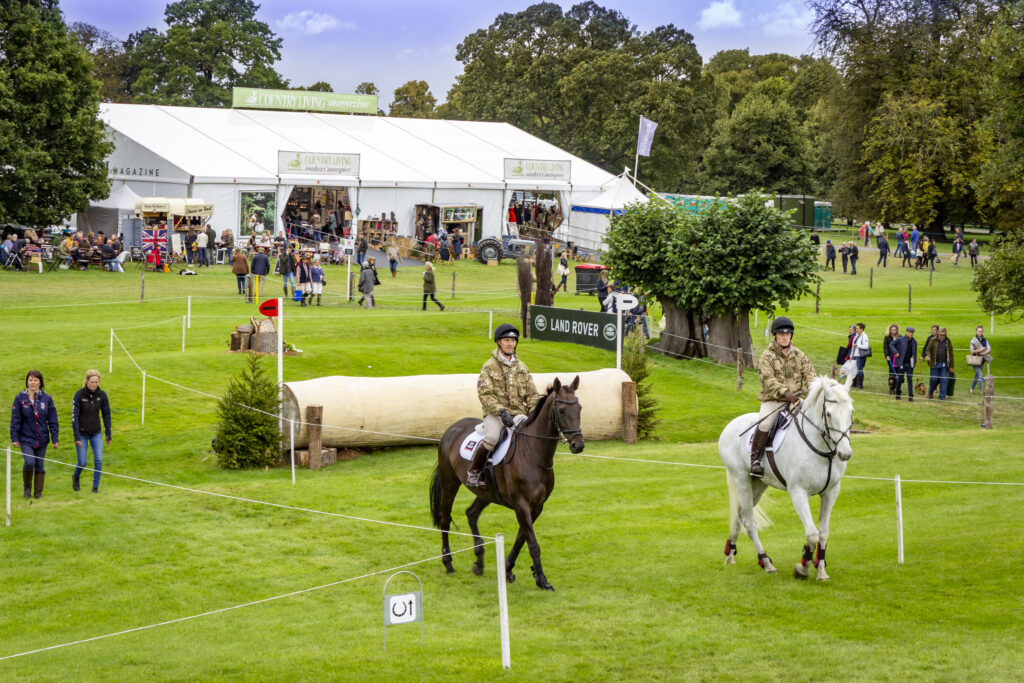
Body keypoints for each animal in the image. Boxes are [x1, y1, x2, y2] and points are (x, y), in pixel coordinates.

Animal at [425, 376, 585, 589]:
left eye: (579, 408)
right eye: (561, 411)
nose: (578, 445)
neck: (533, 453)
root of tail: (452, 429)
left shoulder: (537, 506)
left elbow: (521, 539)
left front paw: (509, 569)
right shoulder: (521, 505)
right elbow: (532, 543)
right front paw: (542, 580)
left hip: (486, 493)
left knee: (471, 514)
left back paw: (479, 562)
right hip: (449, 483)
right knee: (445, 519)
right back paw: (448, 563)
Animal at [720, 368, 856, 581]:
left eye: (851, 412)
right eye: (828, 413)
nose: (845, 453)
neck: (821, 447)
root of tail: (730, 425)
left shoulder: (831, 492)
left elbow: (823, 533)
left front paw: (821, 569)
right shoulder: (798, 492)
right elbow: (812, 533)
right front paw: (803, 566)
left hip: (758, 484)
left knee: (740, 516)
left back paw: (730, 553)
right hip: (741, 480)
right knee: (749, 522)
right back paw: (766, 562)